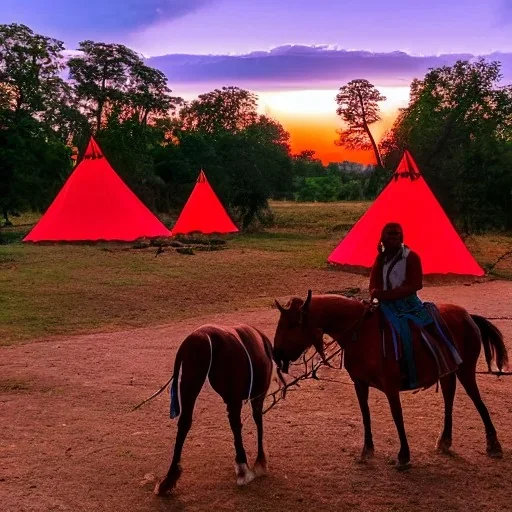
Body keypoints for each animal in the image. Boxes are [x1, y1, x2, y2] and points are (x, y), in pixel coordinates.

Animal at [155, 324, 276, 496]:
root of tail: (203, 336)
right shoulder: (253, 396)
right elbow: (253, 423)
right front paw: (256, 463)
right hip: (235, 393)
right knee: (240, 422)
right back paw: (245, 466)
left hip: (190, 381)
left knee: (185, 422)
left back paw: (169, 479)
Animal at [274, 290, 506, 470]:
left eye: (292, 324)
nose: (276, 354)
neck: (362, 333)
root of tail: (468, 316)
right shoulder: (360, 384)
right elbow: (366, 415)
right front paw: (367, 450)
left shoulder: (391, 386)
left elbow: (397, 416)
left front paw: (403, 455)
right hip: (449, 371)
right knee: (449, 399)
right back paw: (445, 440)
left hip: (466, 370)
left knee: (477, 401)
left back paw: (493, 444)